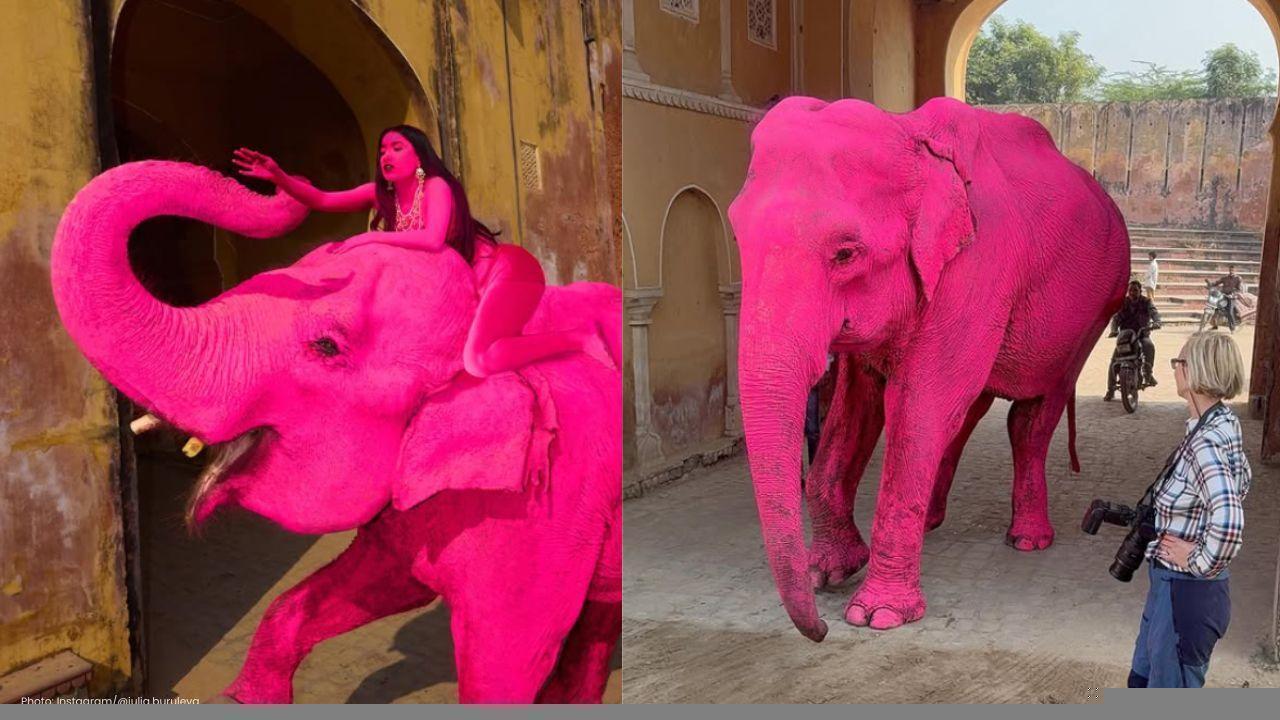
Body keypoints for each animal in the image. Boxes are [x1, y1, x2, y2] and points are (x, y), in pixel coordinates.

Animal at [50, 160, 622, 702]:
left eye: (326, 346)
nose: (280, 177)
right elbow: (360, 586)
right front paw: (236, 699)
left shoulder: (546, 505)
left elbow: (505, 664)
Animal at [727, 96, 1130, 640]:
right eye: (737, 236)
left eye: (846, 253)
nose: (820, 630)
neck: (909, 133)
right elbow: (859, 406)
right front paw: (826, 573)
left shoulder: (977, 268)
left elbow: (918, 404)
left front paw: (876, 615)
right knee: (969, 412)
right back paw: (934, 523)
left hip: (1095, 310)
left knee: (1030, 415)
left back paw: (1028, 540)